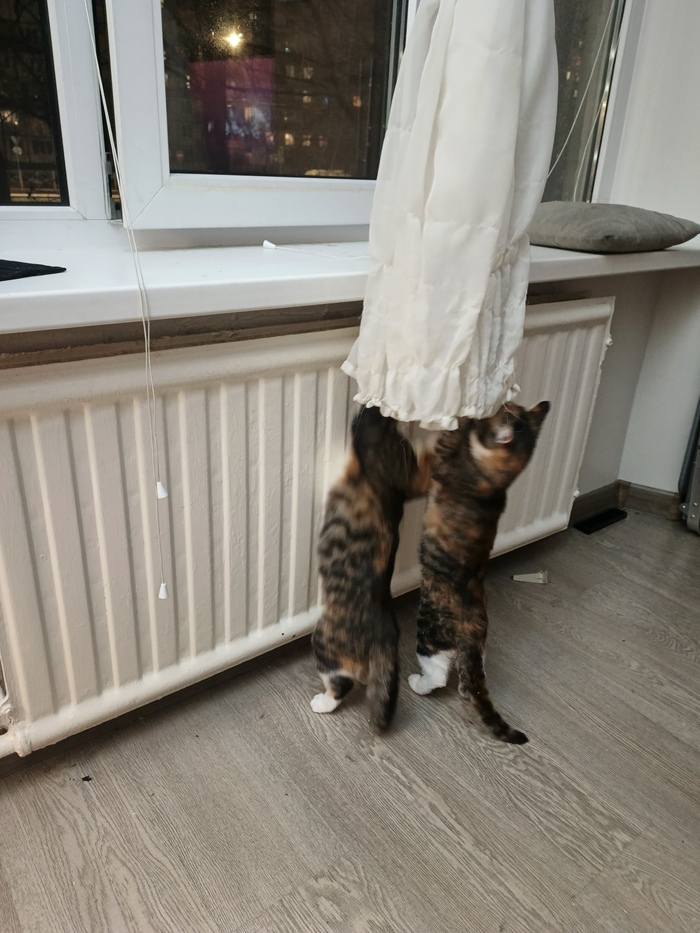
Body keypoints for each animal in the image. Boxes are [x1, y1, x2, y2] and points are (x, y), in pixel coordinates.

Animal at [311, 406, 433, 732]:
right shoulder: (410, 480)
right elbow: (424, 471)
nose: (370, 406)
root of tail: (384, 631)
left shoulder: (370, 443)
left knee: (342, 682)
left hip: (324, 642)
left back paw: (323, 702)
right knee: (364, 675)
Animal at [408, 401, 550, 744]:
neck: (498, 481)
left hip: (428, 632)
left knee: (438, 674)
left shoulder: (445, 461)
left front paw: (463, 419)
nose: (501, 402)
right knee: (467, 681)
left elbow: (449, 440)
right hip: (475, 655)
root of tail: (473, 630)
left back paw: (417, 684)